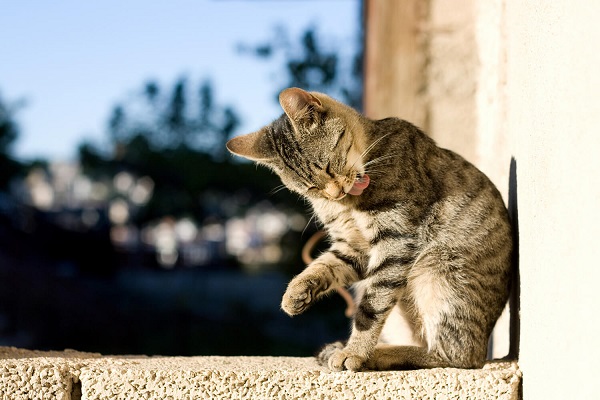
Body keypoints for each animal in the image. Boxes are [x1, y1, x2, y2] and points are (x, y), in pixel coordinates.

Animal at [225, 87, 510, 372]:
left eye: (327, 167)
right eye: (311, 188)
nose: (335, 193)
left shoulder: (396, 239)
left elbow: (370, 308)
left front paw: (354, 351)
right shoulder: (354, 247)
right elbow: (324, 265)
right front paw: (296, 292)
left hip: (440, 271)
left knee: (457, 355)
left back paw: (376, 355)